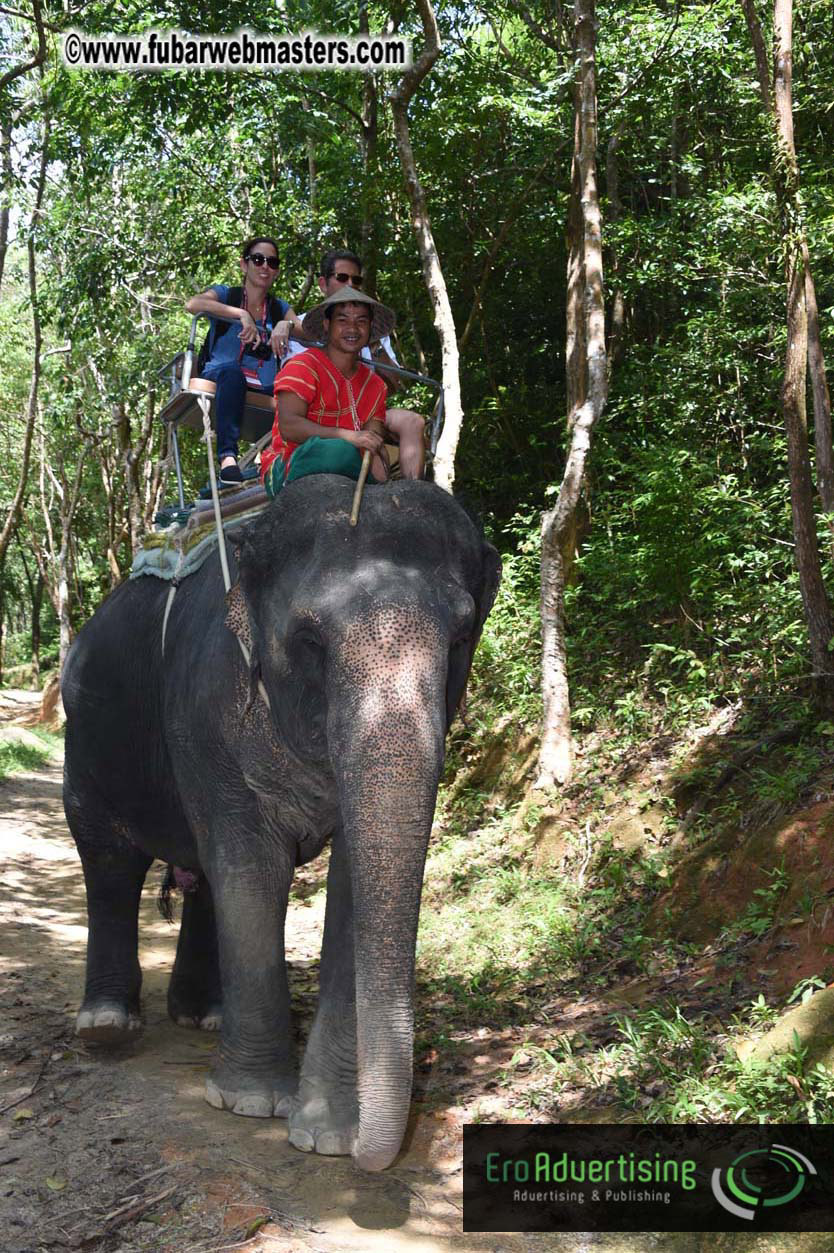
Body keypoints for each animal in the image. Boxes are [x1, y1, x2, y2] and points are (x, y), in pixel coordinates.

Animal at [62, 476, 500, 1172]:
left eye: (461, 639)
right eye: (310, 641)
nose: (377, 1154)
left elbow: (351, 882)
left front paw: (327, 1134)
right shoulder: (208, 711)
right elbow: (251, 869)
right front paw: (251, 1103)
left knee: (200, 874)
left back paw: (203, 1017)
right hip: (85, 740)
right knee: (111, 861)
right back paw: (106, 1025)